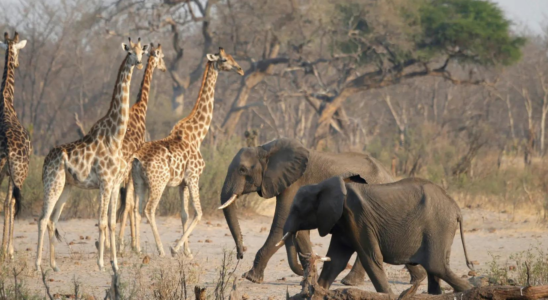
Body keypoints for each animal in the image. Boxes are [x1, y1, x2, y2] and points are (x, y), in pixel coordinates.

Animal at [36, 37, 148, 272]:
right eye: (129, 52)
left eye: (141, 52)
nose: (139, 63)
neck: (115, 137)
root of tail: (45, 161)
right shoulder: (104, 183)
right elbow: (102, 221)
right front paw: (101, 263)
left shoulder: (114, 184)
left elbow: (112, 222)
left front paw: (115, 263)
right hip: (52, 183)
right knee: (42, 219)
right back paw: (38, 265)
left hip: (66, 187)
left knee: (52, 219)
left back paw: (54, 266)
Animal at [132, 48, 243, 256]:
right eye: (224, 59)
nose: (240, 69)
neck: (197, 135)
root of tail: (137, 159)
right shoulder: (193, 177)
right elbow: (198, 213)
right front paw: (175, 248)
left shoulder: (182, 183)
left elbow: (184, 214)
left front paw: (188, 252)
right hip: (158, 183)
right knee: (150, 210)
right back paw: (161, 250)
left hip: (139, 183)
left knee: (137, 209)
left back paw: (138, 250)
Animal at [218, 137, 428, 284]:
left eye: (243, 170)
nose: (240, 254)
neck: (265, 148)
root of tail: (389, 174)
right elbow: (299, 231)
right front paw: (308, 277)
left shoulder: (294, 183)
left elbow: (280, 224)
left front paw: (250, 277)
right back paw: (418, 279)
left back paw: (350, 282)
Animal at [280, 175, 474, 294]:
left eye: (297, 209)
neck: (323, 186)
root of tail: (457, 209)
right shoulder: (343, 223)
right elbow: (335, 261)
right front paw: (317, 292)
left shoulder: (358, 218)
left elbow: (371, 258)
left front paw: (388, 295)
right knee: (436, 269)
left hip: (438, 226)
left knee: (436, 266)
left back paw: (470, 289)